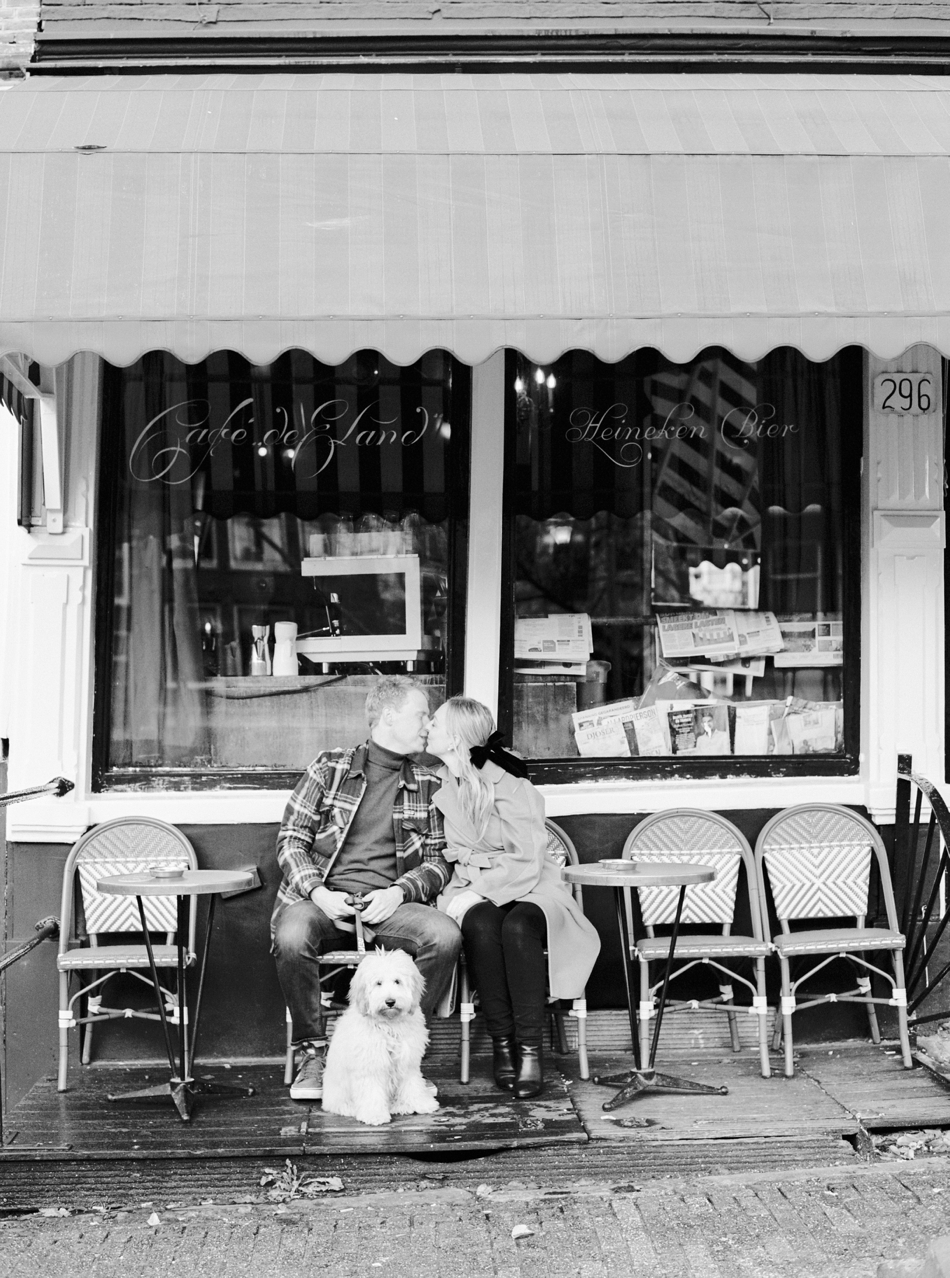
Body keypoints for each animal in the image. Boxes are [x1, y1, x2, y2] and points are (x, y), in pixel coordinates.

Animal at [320, 947, 440, 1126]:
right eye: (378, 983)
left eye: (397, 981)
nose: (390, 1001)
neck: (389, 1024)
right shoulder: (370, 1065)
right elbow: (372, 1092)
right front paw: (374, 1114)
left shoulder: (408, 1060)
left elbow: (413, 1083)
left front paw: (422, 1103)